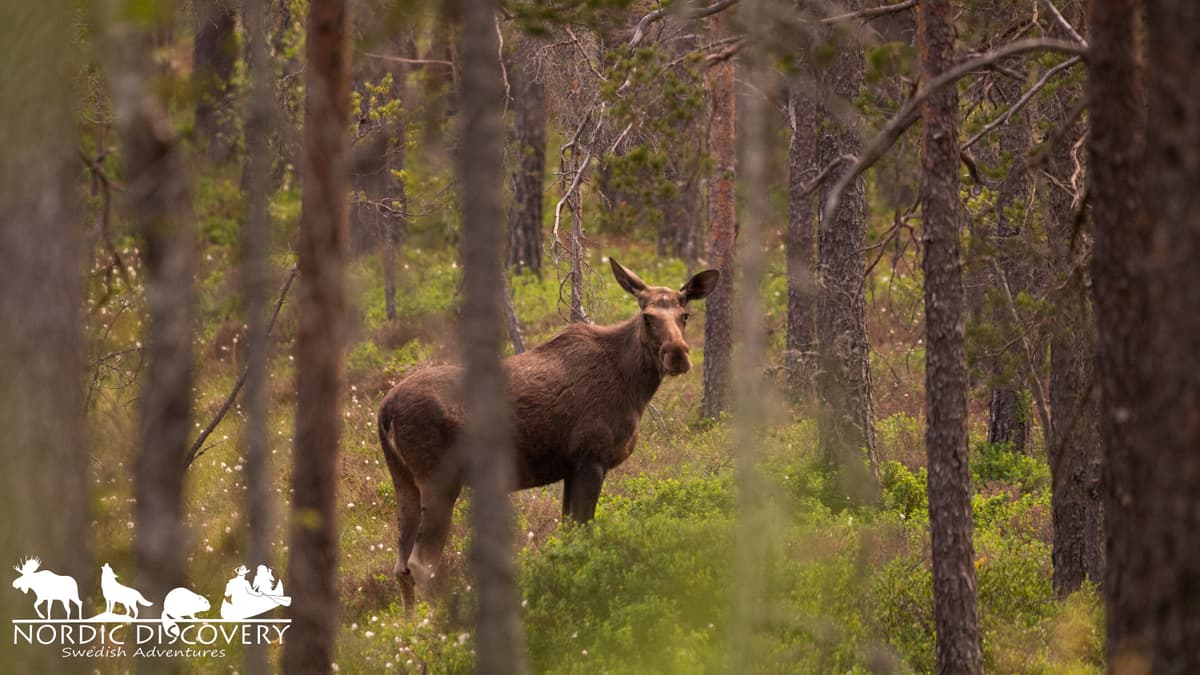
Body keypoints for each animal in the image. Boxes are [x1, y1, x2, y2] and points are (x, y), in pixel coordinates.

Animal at [378, 258, 718, 609]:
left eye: (685, 314)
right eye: (647, 316)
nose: (677, 354)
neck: (635, 386)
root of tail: (384, 412)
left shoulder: (570, 468)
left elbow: (567, 535)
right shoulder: (591, 458)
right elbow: (583, 534)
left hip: (403, 479)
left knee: (400, 565)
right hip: (439, 479)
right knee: (422, 563)